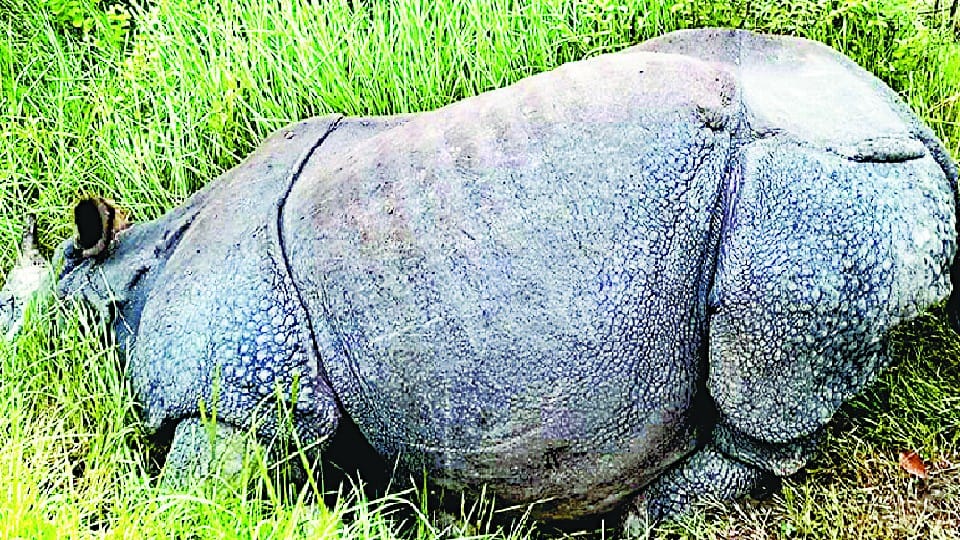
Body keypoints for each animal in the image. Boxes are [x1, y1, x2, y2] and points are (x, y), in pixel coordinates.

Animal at [5, 28, 959, 530]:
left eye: (10, 309)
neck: (123, 277)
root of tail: (922, 137)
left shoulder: (233, 390)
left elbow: (187, 501)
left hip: (805, 188)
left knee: (763, 379)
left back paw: (649, 517)